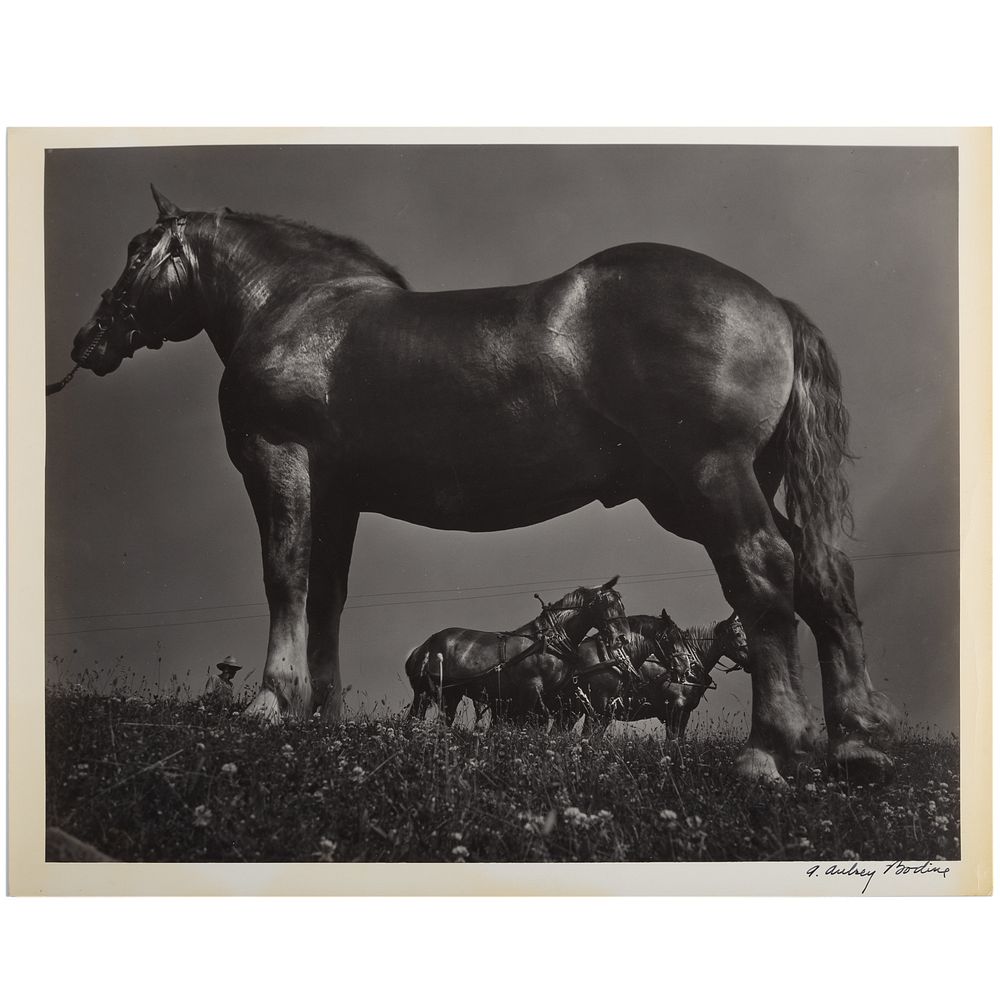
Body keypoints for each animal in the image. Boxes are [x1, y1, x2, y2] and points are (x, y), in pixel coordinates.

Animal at [404, 580, 624, 728]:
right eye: (607, 604)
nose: (621, 637)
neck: (547, 641)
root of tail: (424, 647)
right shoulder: (530, 689)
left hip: (451, 694)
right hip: (424, 693)